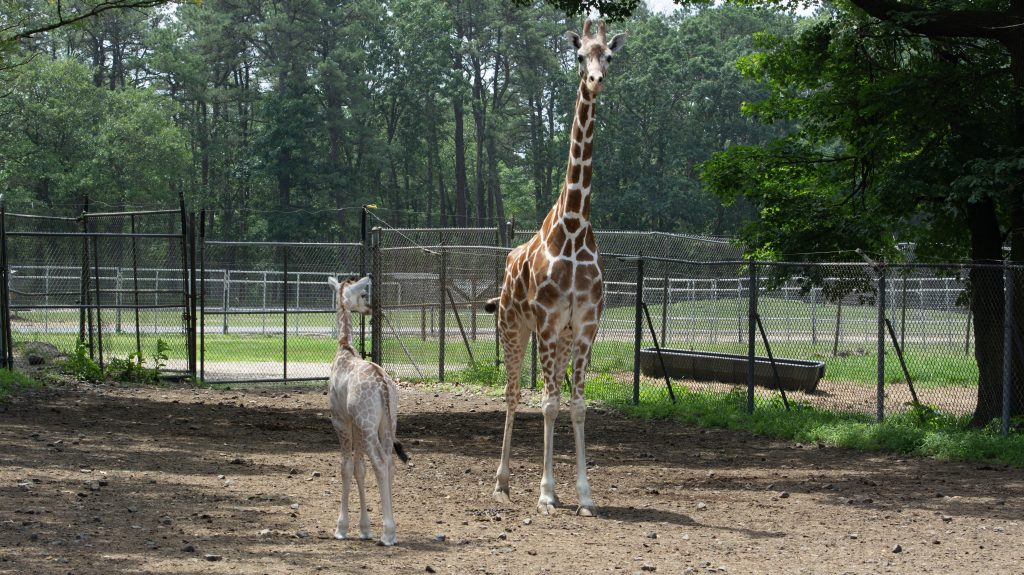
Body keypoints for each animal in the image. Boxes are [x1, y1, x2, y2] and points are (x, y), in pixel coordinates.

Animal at [326, 276, 408, 546]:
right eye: (363, 295)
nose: (370, 308)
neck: (343, 348)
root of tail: (383, 384)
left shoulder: (341, 420)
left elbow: (346, 467)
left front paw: (341, 528)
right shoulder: (355, 424)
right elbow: (359, 469)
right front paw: (364, 528)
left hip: (368, 424)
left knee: (380, 463)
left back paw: (388, 534)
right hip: (386, 423)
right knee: (390, 462)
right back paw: (389, 527)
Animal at [486, 19, 625, 517]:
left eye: (609, 56)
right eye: (580, 56)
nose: (595, 81)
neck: (574, 226)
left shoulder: (583, 327)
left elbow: (576, 405)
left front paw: (584, 495)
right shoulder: (546, 323)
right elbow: (545, 404)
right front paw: (545, 493)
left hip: (558, 340)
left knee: (552, 396)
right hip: (512, 327)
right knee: (512, 394)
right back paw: (503, 482)